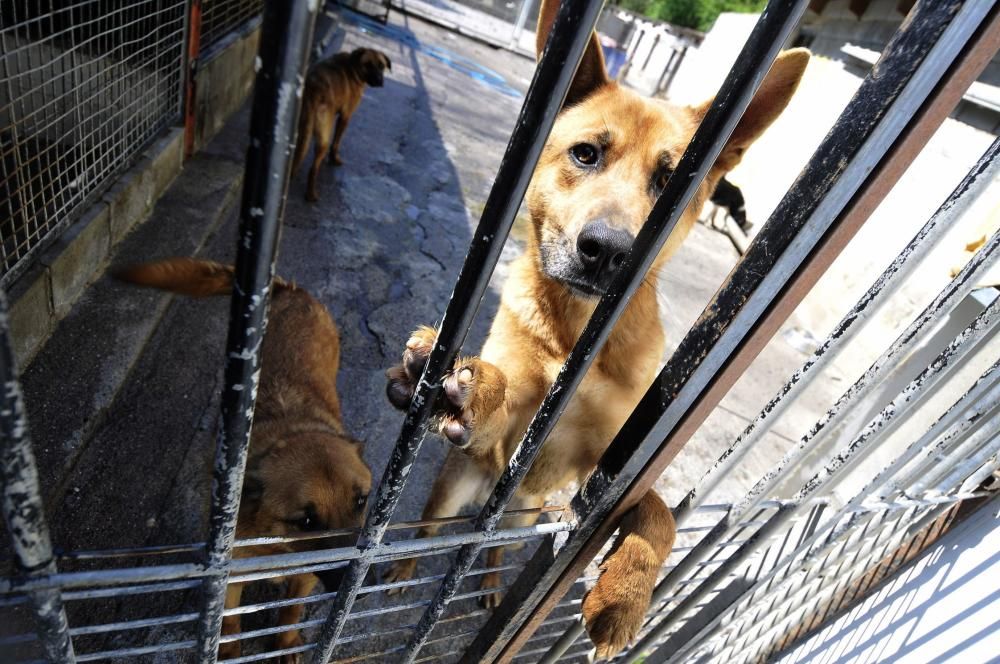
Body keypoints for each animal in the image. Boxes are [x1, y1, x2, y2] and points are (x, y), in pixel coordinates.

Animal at [117, 260, 374, 664]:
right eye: (306, 521)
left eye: (361, 501)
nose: (361, 586)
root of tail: (290, 290)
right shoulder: (230, 577)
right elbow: (231, 620)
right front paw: (229, 650)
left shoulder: (304, 577)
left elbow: (290, 612)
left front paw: (286, 644)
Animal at [292, 47, 392, 202]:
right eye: (368, 65)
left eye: (381, 66)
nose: (379, 81)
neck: (353, 67)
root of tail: (313, 91)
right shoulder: (345, 117)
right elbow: (336, 142)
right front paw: (334, 159)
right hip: (323, 139)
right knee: (313, 168)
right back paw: (311, 194)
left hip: (301, 132)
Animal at [378, 0, 808, 656]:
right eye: (585, 155)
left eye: (669, 181)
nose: (607, 252)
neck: (575, 336)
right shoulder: (510, 437)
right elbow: (496, 395)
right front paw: (468, 384)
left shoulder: (611, 465)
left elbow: (658, 515)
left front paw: (624, 597)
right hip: (457, 484)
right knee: (425, 527)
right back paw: (403, 570)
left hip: (522, 510)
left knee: (493, 551)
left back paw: (494, 583)